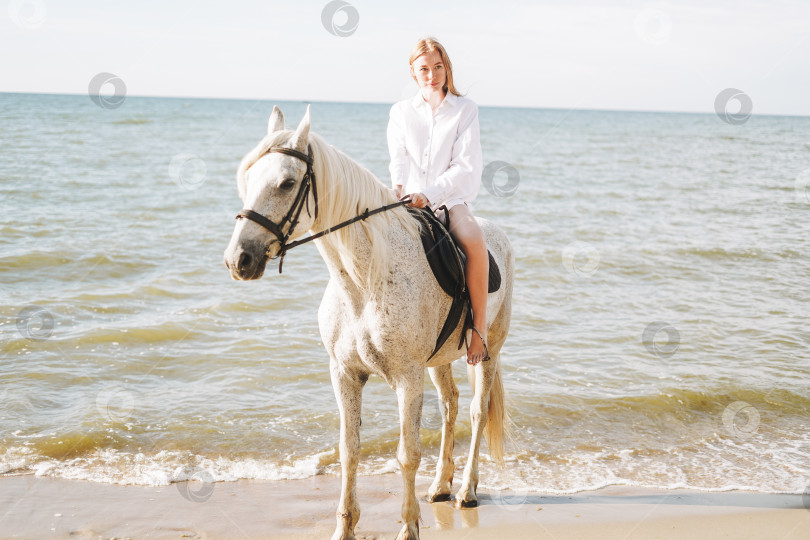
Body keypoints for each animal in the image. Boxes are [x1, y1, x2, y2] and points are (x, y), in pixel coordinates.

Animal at [223, 105, 512, 540]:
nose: (238, 259)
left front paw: (408, 527)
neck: (363, 282)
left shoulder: (407, 378)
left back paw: (466, 491)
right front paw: (344, 528)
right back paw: (441, 486)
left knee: (477, 412)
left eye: (287, 182)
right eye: (249, 178)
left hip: (488, 350)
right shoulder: (344, 373)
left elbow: (408, 454)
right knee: (450, 405)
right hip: (439, 360)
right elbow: (349, 451)